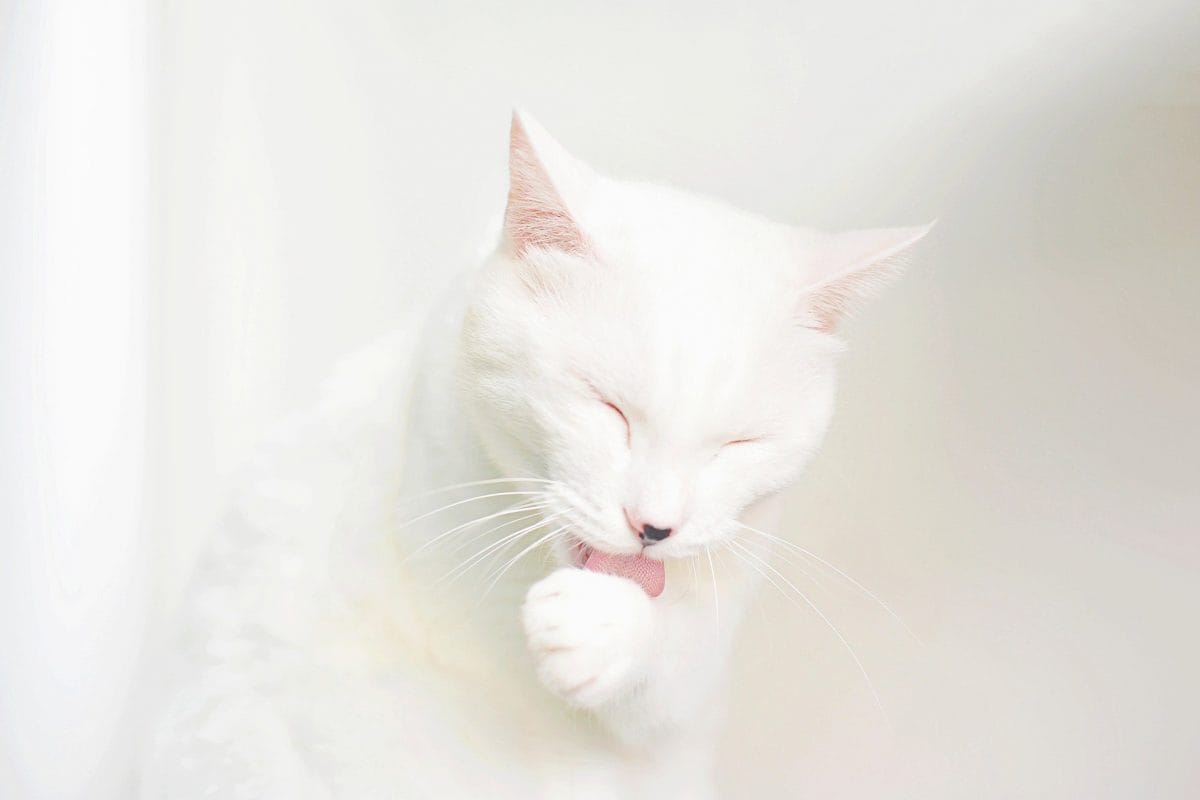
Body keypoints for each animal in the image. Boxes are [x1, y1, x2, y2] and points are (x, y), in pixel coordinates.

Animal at [140, 113, 926, 800]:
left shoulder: (716, 616)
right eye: (607, 408)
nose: (654, 526)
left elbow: (672, 672)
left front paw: (606, 628)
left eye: (736, 445)